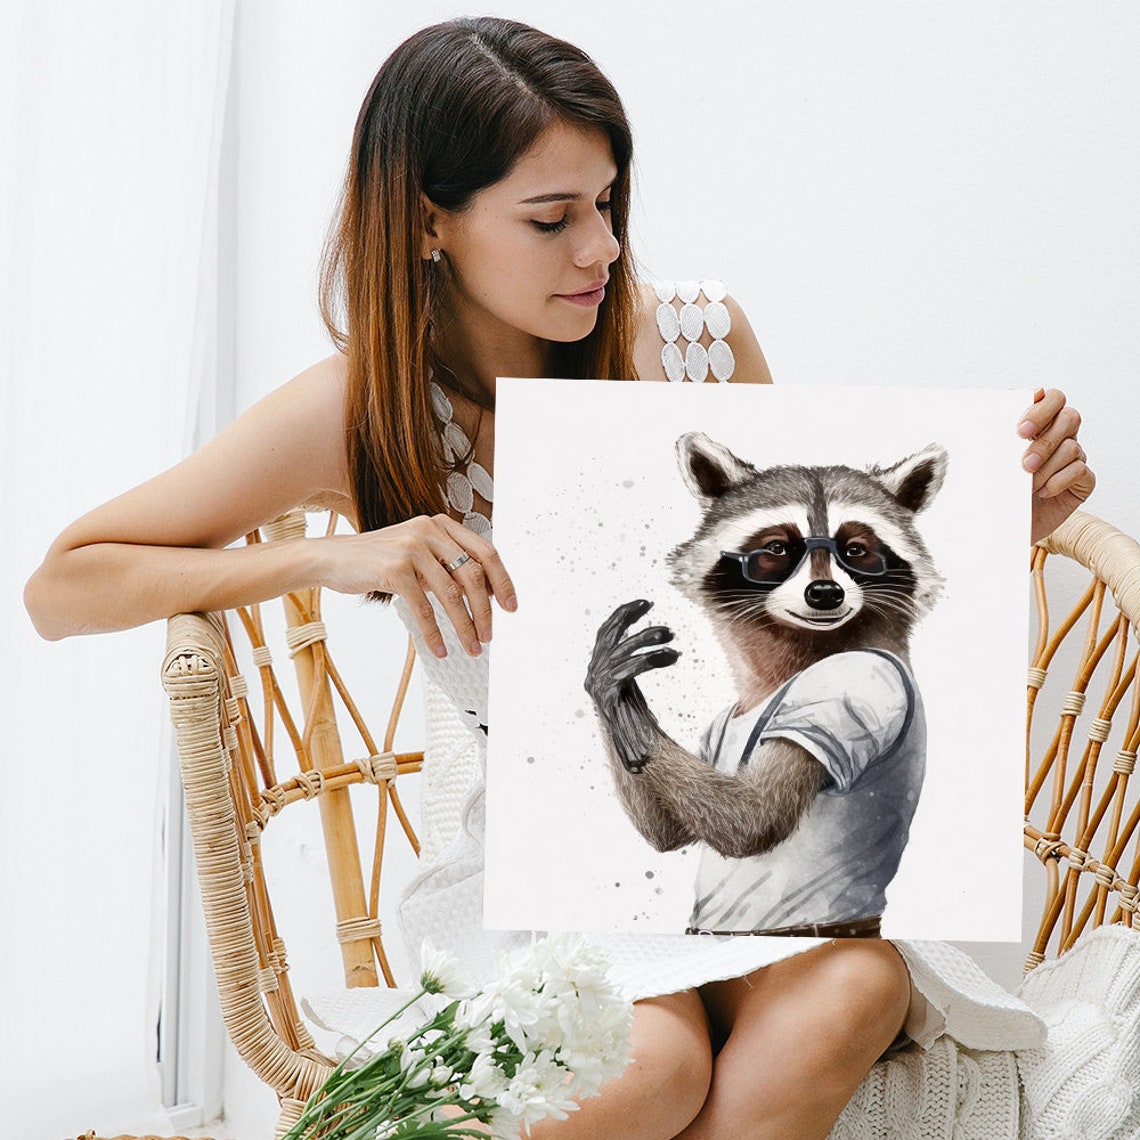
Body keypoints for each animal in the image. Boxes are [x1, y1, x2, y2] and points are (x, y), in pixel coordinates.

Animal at [584, 432, 947, 935]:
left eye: (856, 550)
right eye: (777, 549)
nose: (825, 593)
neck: (800, 650)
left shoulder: (849, 688)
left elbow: (751, 818)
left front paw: (625, 705)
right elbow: (671, 829)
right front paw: (614, 695)